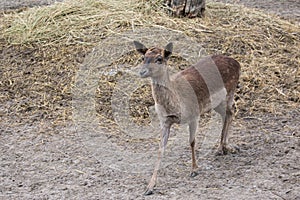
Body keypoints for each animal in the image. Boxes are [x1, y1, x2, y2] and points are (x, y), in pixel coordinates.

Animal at [134, 40, 241, 195]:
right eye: (143, 57)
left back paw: (222, 148)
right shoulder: (165, 121)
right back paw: (225, 147)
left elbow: (192, 141)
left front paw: (194, 170)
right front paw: (149, 187)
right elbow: (160, 149)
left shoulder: (194, 115)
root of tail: (237, 63)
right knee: (228, 114)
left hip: (230, 92)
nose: (142, 72)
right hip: (217, 103)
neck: (177, 103)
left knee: (230, 112)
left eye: (159, 59)